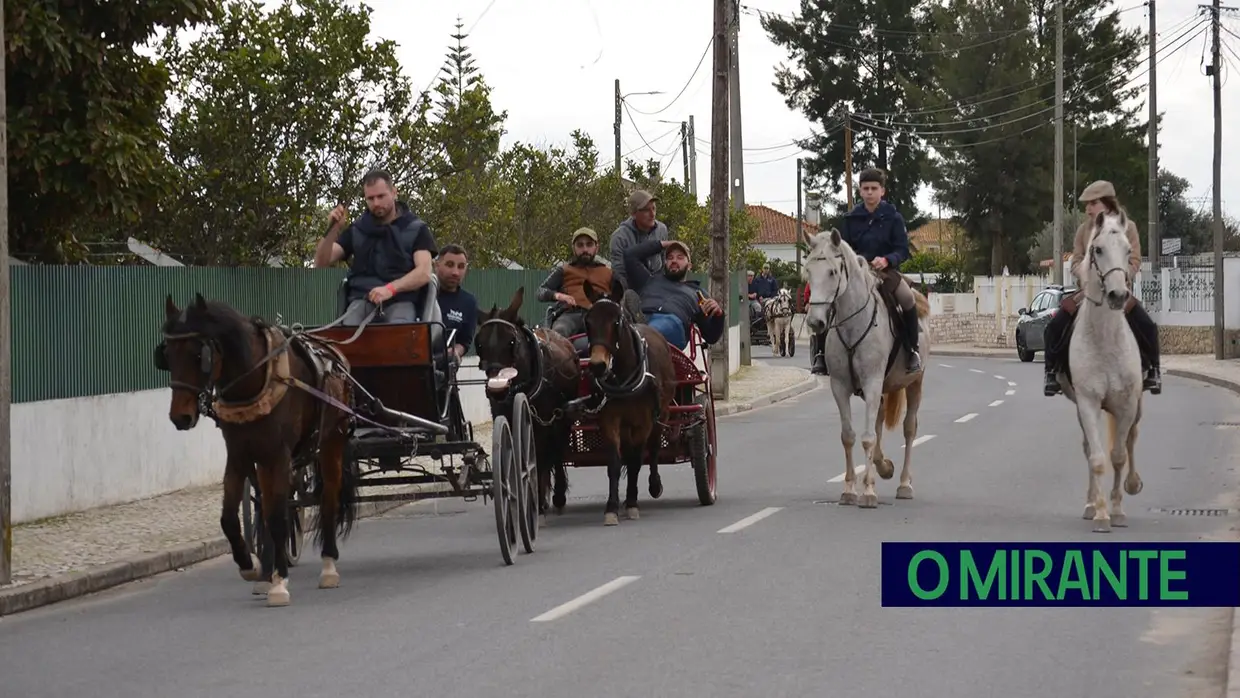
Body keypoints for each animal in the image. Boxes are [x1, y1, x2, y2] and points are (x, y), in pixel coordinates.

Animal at [157, 293, 357, 607]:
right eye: (166, 356)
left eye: (199, 356)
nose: (181, 417)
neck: (254, 381)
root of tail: (334, 353)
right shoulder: (239, 454)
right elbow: (230, 517)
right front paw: (250, 566)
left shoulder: (280, 455)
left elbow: (278, 517)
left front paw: (280, 583)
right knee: (268, 505)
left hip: (330, 442)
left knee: (328, 499)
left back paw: (328, 566)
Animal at [473, 286, 580, 520]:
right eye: (479, 344)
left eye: (511, 341)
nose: (497, 389)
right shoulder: (506, 419)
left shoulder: (544, 422)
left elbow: (539, 457)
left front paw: (537, 499)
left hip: (560, 421)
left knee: (555, 452)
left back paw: (556, 495)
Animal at [582, 278, 679, 525]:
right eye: (587, 321)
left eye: (616, 321)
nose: (597, 366)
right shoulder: (610, 420)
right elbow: (615, 464)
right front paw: (612, 508)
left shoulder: (644, 423)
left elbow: (636, 461)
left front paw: (633, 504)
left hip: (662, 414)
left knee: (653, 450)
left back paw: (653, 484)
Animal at [803, 229, 932, 508]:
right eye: (807, 271)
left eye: (832, 272)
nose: (816, 322)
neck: (853, 323)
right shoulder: (840, 386)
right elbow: (849, 436)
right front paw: (851, 489)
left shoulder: (872, 383)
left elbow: (867, 437)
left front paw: (869, 491)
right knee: (879, 421)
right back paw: (883, 466)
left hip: (914, 383)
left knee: (909, 428)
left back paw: (904, 484)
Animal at [1056, 210, 1140, 533]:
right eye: (1098, 249)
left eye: (1128, 250)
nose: (1118, 295)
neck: (1105, 338)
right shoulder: (1088, 402)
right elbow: (1098, 458)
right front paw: (1102, 513)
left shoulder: (1127, 404)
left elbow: (1118, 456)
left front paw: (1117, 510)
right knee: (1088, 448)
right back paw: (1091, 504)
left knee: (1130, 441)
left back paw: (1133, 484)